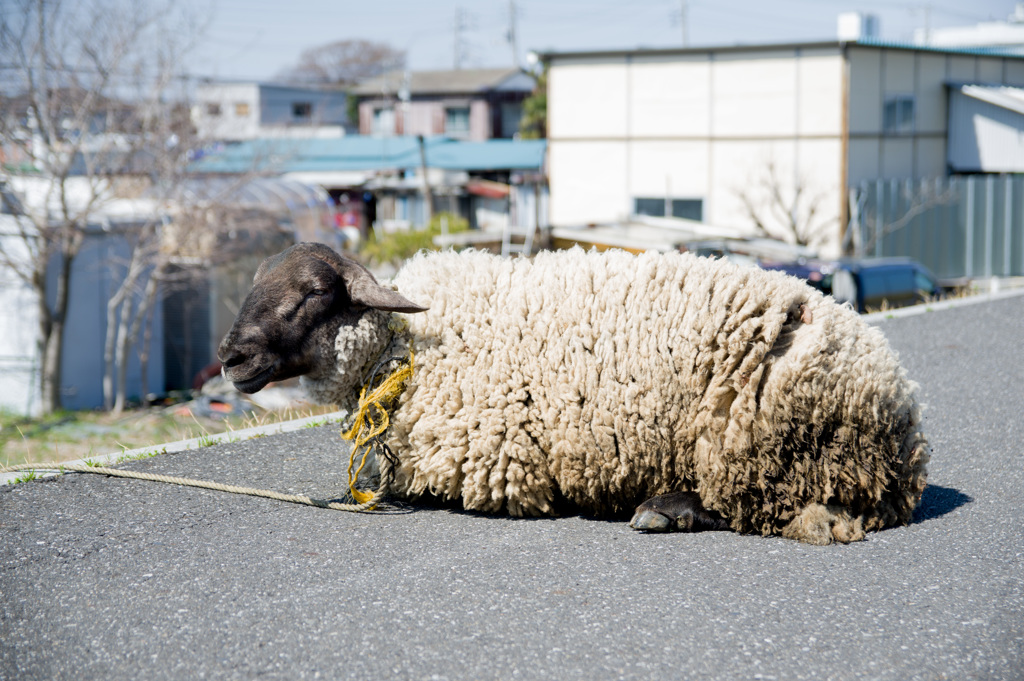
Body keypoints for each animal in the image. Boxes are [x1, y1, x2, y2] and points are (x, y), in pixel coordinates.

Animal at [220, 241, 933, 544]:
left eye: (314, 292)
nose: (230, 357)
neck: (406, 342)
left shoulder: (499, 460)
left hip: (752, 446)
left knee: (754, 506)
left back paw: (664, 511)